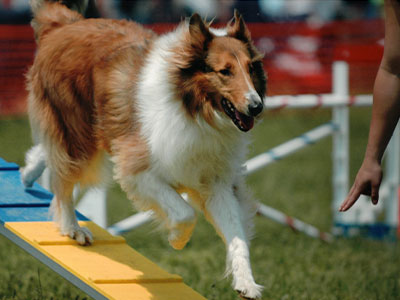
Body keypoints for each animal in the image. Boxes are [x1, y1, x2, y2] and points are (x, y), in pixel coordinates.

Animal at [21, 0, 268, 298]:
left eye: (251, 68)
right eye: (225, 71)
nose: (256, 106)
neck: (194, 110)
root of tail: (66, 24)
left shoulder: (216, 183)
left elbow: (237, 236)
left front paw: (246, 283)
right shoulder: (138, 168)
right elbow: (184, 213)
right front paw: (177, 239)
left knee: (49, 156)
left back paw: (28, 172)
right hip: (77, 135)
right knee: (63, 180)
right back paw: (73, 228)